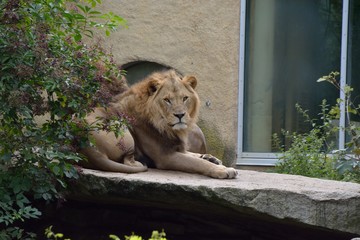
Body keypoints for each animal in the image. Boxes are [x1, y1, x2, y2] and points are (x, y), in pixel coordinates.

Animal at [81, 69, 239, 178]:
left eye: (185, 98)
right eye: (167, 100)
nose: (180, 115)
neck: (166, 126)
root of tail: (88, 148)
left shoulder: (175, 147)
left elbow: (193, 155)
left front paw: (212, 158)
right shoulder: (165, 157)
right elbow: (198, 163)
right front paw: (223, 170)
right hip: (121, 128)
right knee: (128, 159)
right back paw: (140, 162)